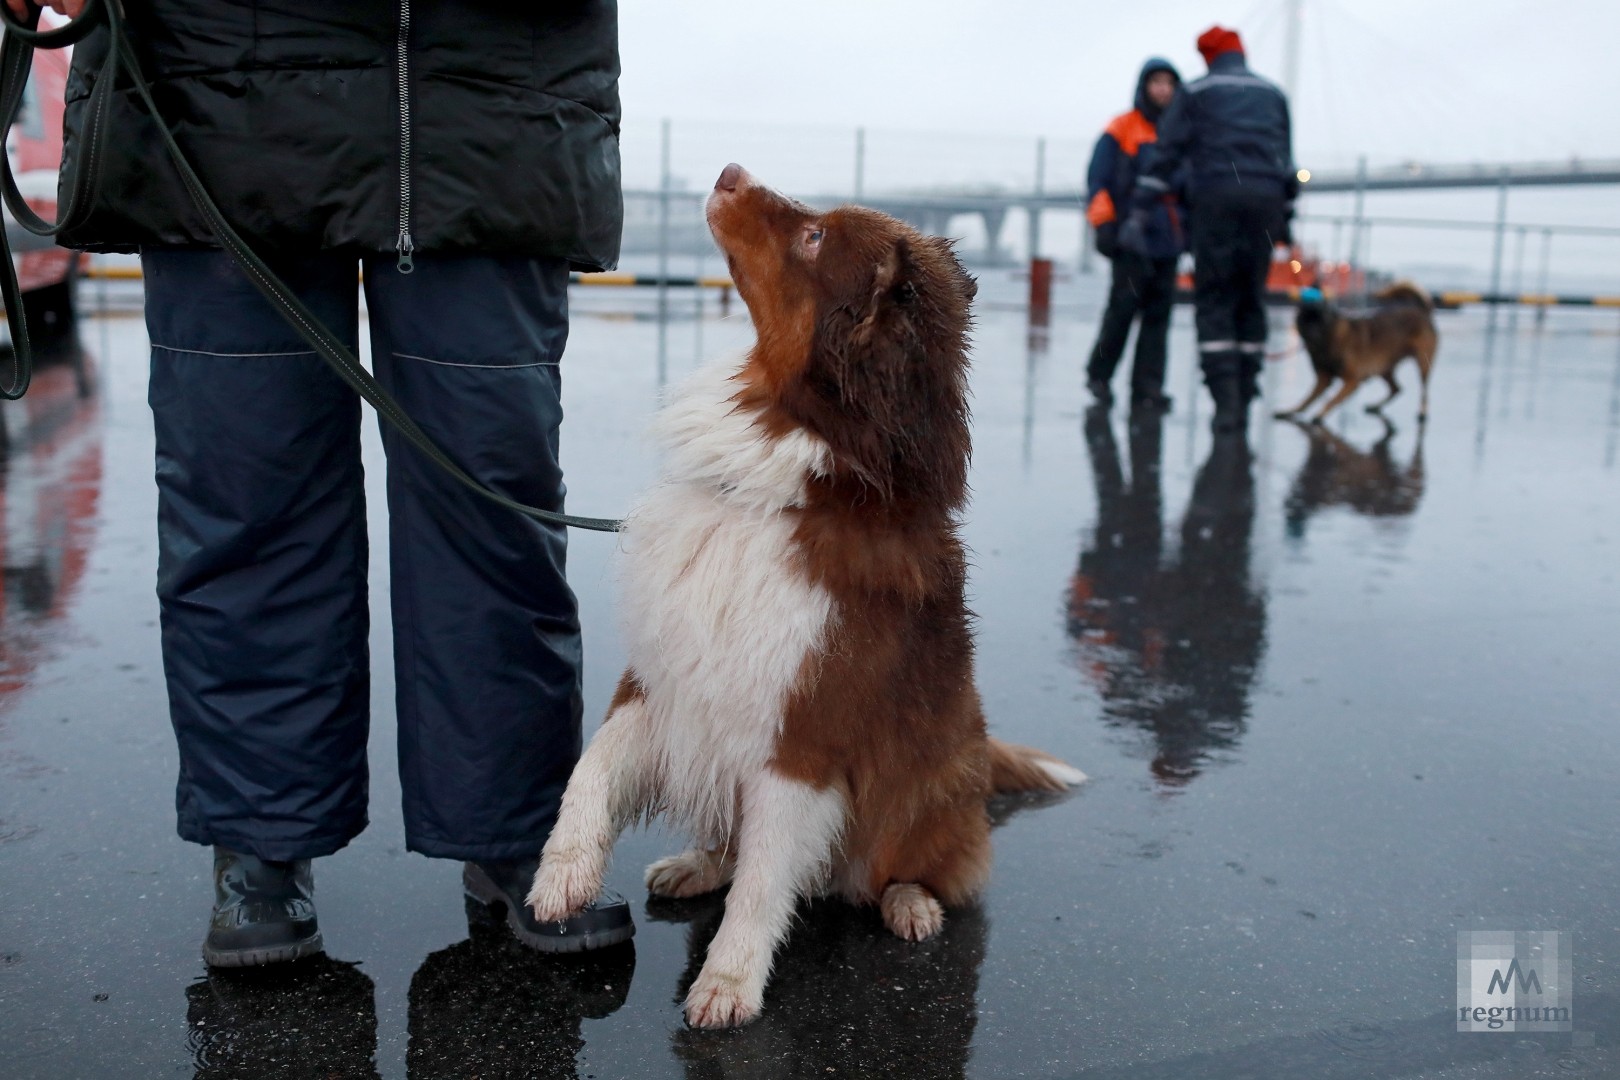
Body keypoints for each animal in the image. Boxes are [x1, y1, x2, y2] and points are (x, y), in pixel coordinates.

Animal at [531, 165, 1088, 1029]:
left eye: (816, 236)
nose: (727, 173)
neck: (790, 473)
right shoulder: (659, 674)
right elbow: (591, 771)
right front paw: (562, 873)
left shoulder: (804, 734)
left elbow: (766, 882)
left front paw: (729, 981)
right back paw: (700, 863)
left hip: (932, 790)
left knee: (914, 867)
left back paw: (909, 903)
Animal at [1270, 281, 1438, 424]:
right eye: (1305, 320)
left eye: (1320, 320)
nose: (1312, 333)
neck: (1330, 339)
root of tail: (1422, 311)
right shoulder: (1323, 380)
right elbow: (1306, 399)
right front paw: (1291, 410)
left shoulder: (1352, 381)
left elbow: (1331, 399)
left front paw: (1321, 414)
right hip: (1383, 368)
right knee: (1396, 389)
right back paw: (1375, 406)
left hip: (1422, 365)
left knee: (1423, 390)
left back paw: (1422, 412)